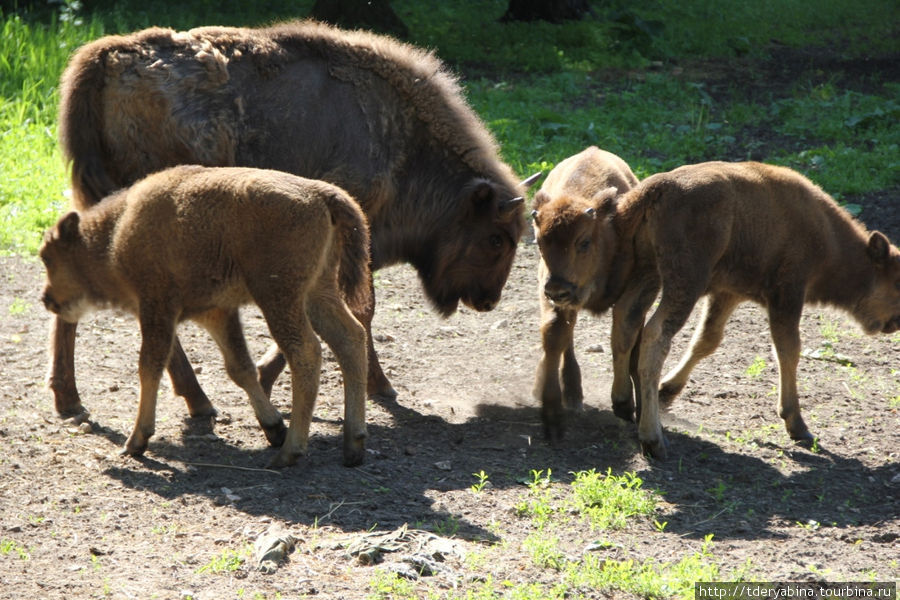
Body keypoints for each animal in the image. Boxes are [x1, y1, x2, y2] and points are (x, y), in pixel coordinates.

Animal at [38, 165, 370, 468]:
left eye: (48, 257)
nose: (47, 299)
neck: (115, 231)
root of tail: (321, 194)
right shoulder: (216, 312)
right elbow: (240, 368)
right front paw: (274, 427)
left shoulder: (157, 308)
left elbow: (149, 367)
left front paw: (136, 442)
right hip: (317, 291)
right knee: (351, 338)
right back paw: (352, 446)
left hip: (279, 297)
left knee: (306, 352)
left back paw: (290, 453)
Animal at [54, 19, 536, 422]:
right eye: (497, 238)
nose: (488, 300)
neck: (400, 139)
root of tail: (107, 55)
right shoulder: (352, 237)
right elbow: (361, 309)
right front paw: (379, 386)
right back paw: (194, 402)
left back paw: (74, 400)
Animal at [536, 159, 900, 460]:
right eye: (896, 284)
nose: (893, 323)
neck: (822, 230)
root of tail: (658, 189)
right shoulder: (786, 295)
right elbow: (788, 350)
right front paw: (797, 425)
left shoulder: (727, 293)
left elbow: (708, 340)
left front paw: (667, 390)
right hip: (683, 284)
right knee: (655, 336)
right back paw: (653, 439)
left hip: (648, 274)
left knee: (626, 325)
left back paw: (626, 404)